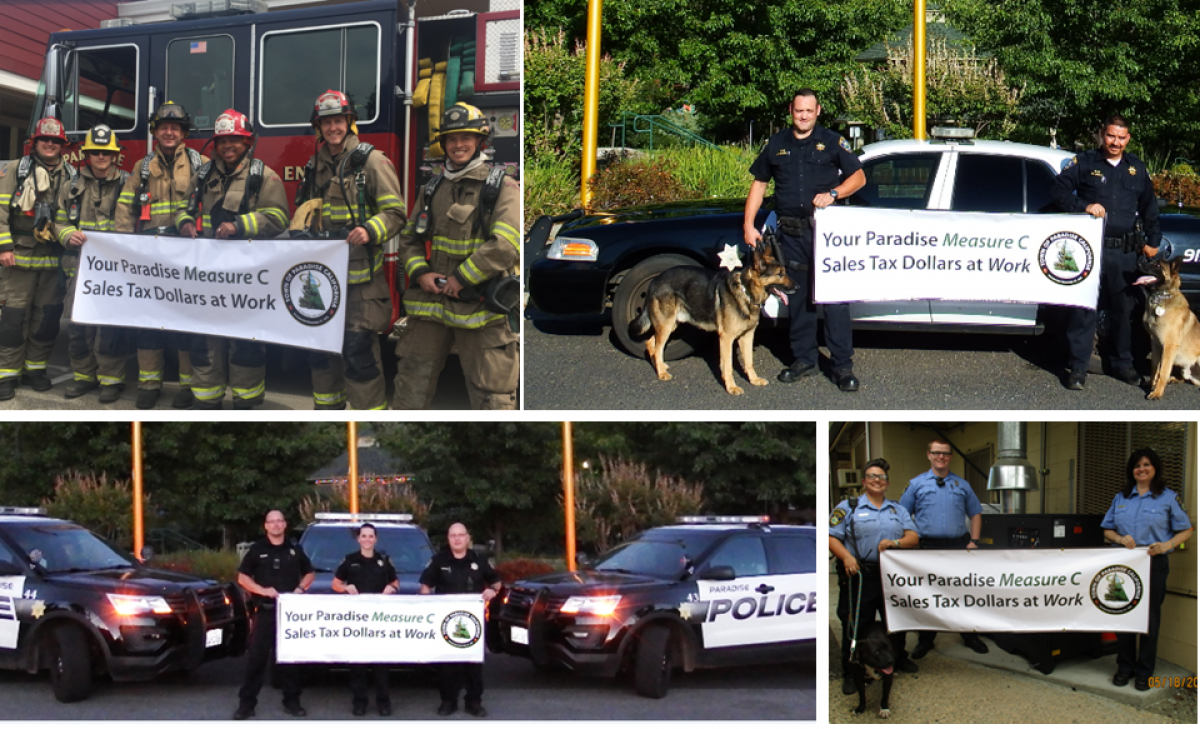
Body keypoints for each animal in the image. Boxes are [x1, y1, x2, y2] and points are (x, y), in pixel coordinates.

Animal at [633, 244, 792, 393]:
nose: (796, 287)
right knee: (658, 347)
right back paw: (661, 372)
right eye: (780, 274)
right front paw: (731, 387)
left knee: (651, 343)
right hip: (666, 325)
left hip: (671, 324)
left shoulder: (747, 336)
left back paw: (660, 366)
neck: (746, 291)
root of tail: (655, 280)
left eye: (784, 272)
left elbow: (749, 362)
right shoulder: (726, 338)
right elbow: (728, 366)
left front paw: (754, 380)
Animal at [1132, 257, 1200, 398]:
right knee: (1185, 377)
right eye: (1151, 260)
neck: (1160, 297)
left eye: (1158, 265)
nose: (1138, 261)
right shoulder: (1155, 343)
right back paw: (1174, 379)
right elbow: (1154, 367)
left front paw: (1157, 393)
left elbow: (1163, 372)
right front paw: (1151, 383)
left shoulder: (1169, 347)